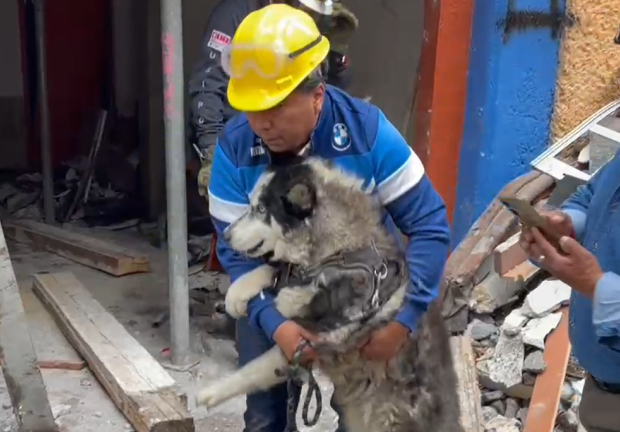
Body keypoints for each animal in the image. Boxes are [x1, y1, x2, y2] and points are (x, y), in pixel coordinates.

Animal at [196, 159, 462, 432]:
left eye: (260, 209)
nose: (225, 235)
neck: (338, 252)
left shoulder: (314, 340)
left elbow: (252, 369)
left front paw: (211, 393)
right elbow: (274, 270)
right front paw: (237, 295)